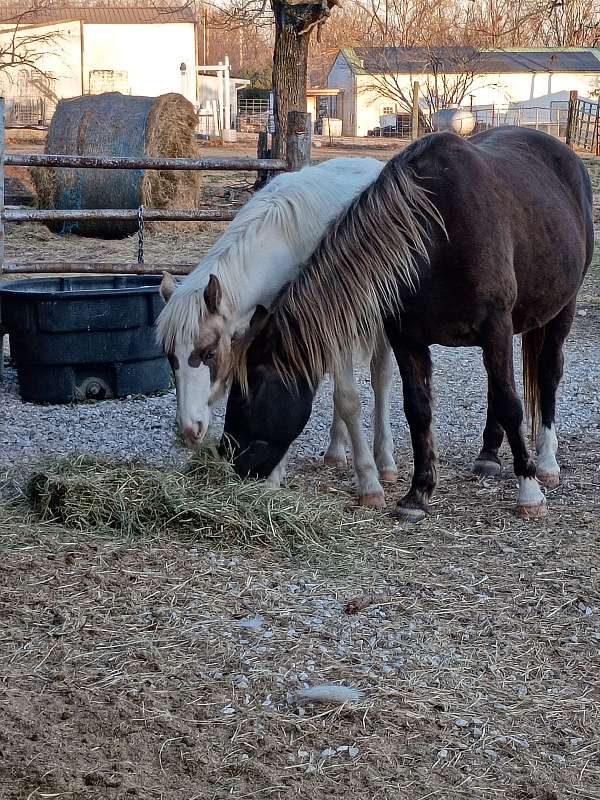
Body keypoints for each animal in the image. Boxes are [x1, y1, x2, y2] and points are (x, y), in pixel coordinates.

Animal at [156, 156, 399, 506]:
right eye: (169, 357)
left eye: (209, 352)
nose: (189, 429)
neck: (281, 242)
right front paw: (273, 477)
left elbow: (349, 399)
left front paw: (369, 483)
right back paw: (335, 451)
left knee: (380, 378)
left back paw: (386, 461)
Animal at [224, 127, 593, 520]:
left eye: (247, 395)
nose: (231, 463)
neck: (436, 237)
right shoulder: (407, 339)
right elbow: (418, 410)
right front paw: (417, 493)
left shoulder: (496, 328)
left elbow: (512, 404)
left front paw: (529, 491)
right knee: (496, 387)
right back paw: (489, 455)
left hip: (561, 310)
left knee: (548, 374)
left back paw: (547, 462)